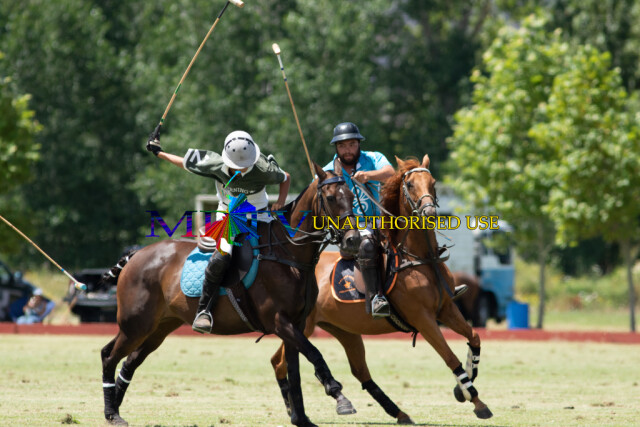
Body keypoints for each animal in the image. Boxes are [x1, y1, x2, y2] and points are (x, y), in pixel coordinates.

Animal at [100, 163, 362, 427]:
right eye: (330, 198)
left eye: (352, 196)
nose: (353, 240)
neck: (288, 254)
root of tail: (135, 255)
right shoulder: (279, 322)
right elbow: (314, 354)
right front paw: (337, 393)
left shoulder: (296, 323)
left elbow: (295, 369)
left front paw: (302, 418)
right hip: (135, 325)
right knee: (109, 356)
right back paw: (112, 413)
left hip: (158, 328)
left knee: (129, 361)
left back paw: (114, 408)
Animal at [271, 155, 493, 424]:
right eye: (410, 185)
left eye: (433, 183)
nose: (429, 212)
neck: (420, 256)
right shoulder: (423, 318)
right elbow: (450, 357)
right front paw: (475, 399)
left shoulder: (446, 309)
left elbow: (475, 337)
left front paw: (465, 389)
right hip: (302, 326)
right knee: (279, 362)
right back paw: (298, 408)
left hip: (343, 330)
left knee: (357, 370)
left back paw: (389, 411)